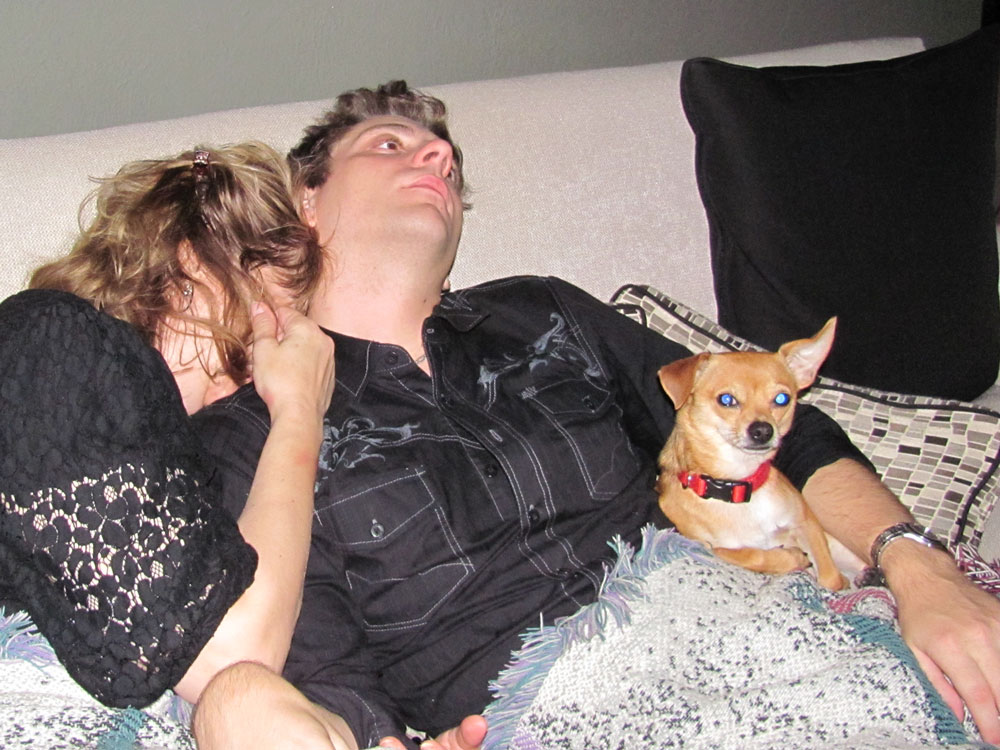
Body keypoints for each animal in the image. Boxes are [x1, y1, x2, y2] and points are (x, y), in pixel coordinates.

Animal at [655, 318, 862, 590]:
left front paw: (834, 580)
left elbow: (829, 576)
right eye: (726, 399)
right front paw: (792, 557)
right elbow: (750, 554)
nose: (763, 430)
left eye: (782, 399)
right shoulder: (713, 547)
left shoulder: (806, 521)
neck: (739, 484)